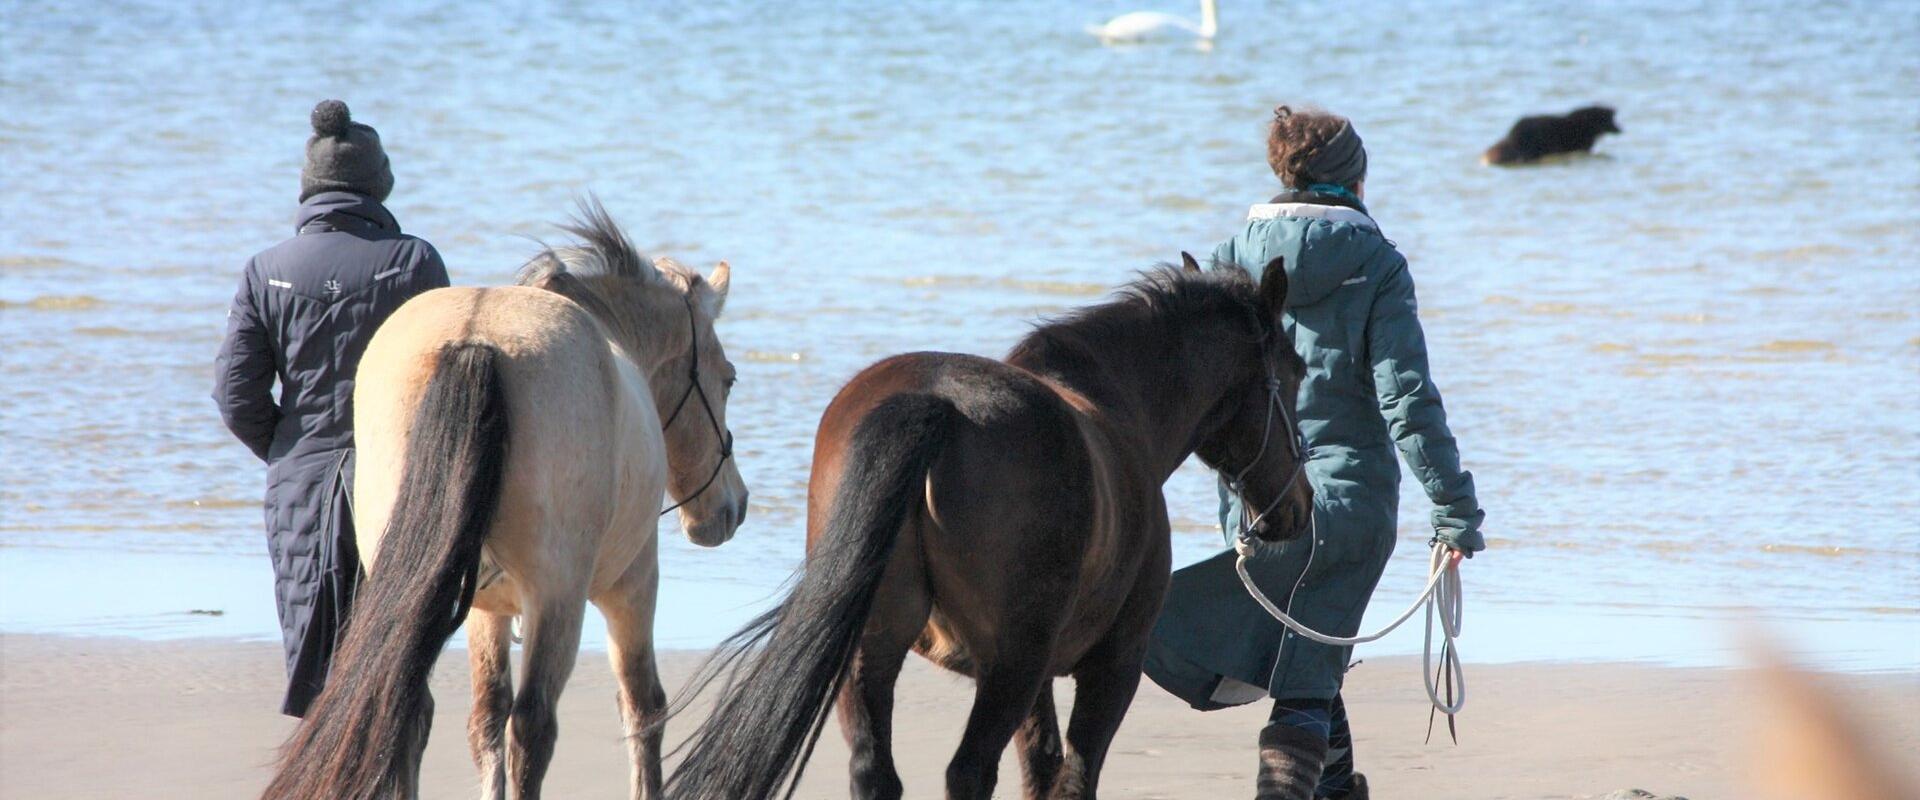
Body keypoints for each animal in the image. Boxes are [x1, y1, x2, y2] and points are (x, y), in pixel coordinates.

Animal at [266, 204, 744, 798]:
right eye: (728, 379)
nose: (731, 508)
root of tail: (476, 342)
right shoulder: (632, 585)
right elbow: (643, 706)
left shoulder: (482, 610)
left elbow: (485, 720)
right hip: (559, 600)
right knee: (534, 724)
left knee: (413, 709)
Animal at [668, 255, 1313, 798]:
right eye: (1297, 372)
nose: (1297, 506)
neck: (1118, 407)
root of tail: (937, 404)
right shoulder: (1112, 665)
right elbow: (1072, 778)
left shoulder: (1040, 681)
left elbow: (1042, 769)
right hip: (1010, 665)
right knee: (969, 772)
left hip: (872, 649)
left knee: (876, 774)